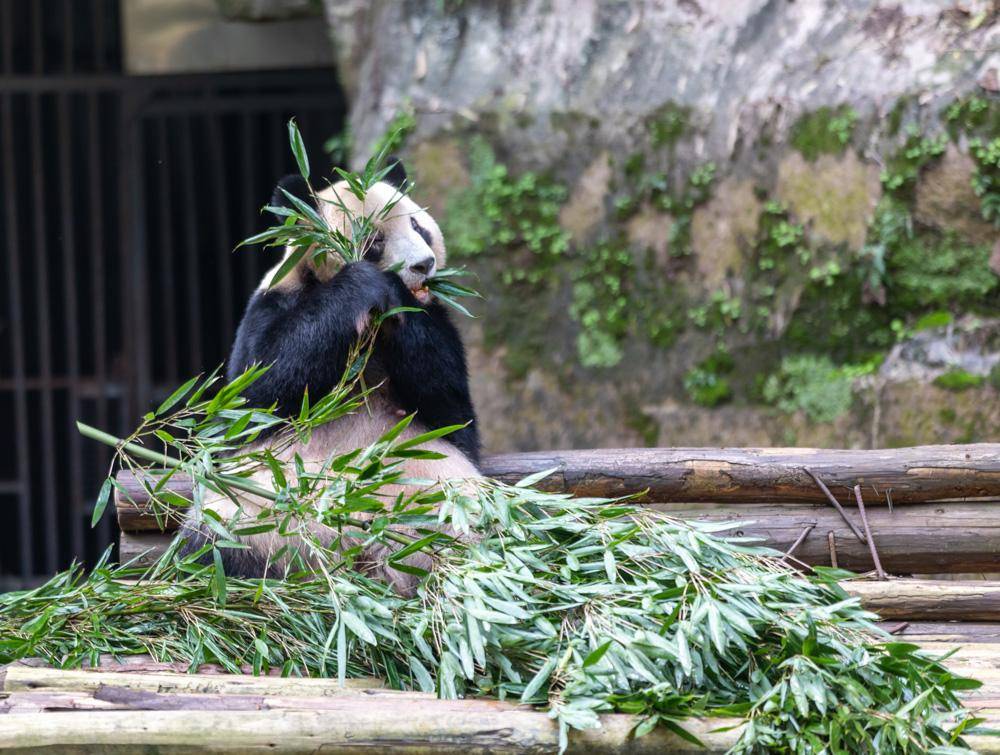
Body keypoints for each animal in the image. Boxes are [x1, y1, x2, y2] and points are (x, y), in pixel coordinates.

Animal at [185, 161, 488, 596]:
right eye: (374, 241)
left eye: (418, 226)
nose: (424, 264)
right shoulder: (272, 303)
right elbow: (257, 391)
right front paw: (365, 283)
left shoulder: (436, 322)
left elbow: (452, 413)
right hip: (259, 513)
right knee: (215, 538)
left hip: (445, 500)